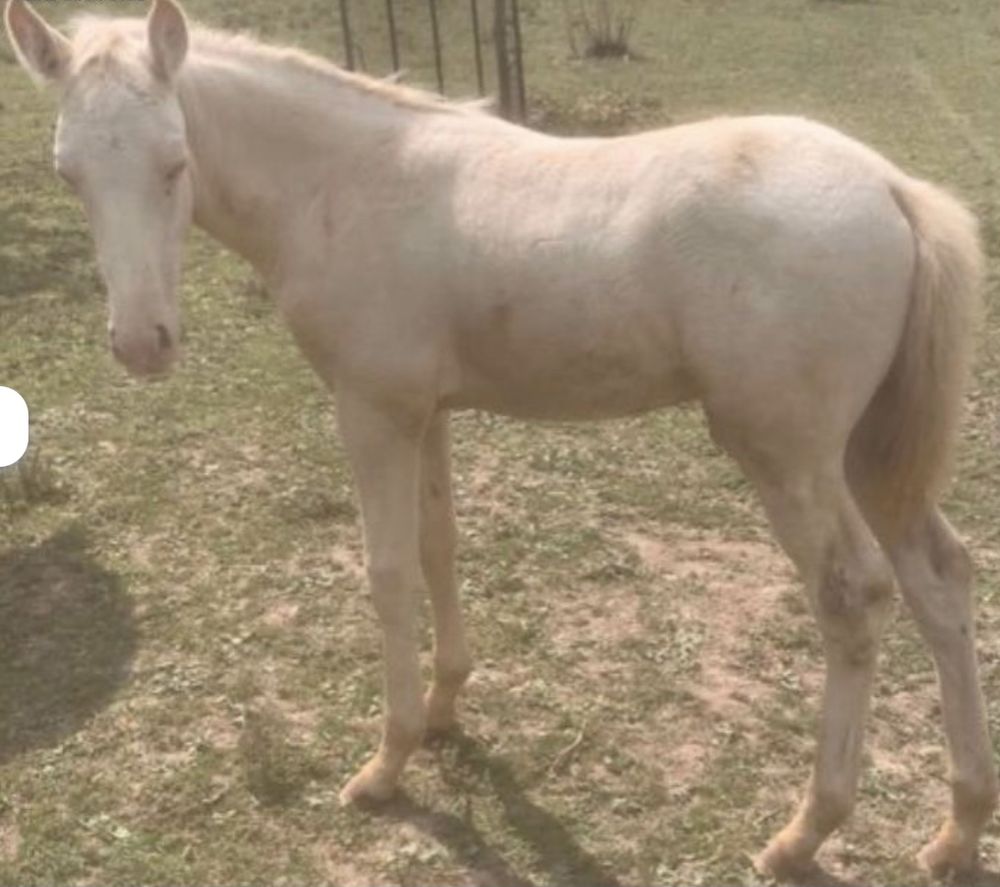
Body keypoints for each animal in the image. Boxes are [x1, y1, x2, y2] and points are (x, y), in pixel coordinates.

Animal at [6, 0, 997, 878]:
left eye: (175, 163)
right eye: (68, 175)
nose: (142, 343)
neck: (344, 184)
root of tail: (893, 189)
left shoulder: (371, 409)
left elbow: (388, 570)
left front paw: (387, 763)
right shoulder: (427, 410)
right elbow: (439, 547)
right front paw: (446, 711)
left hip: (787, 455)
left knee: (854, 597)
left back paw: (804, 833)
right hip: (869, 451)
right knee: (940, 578)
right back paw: (956, 829)